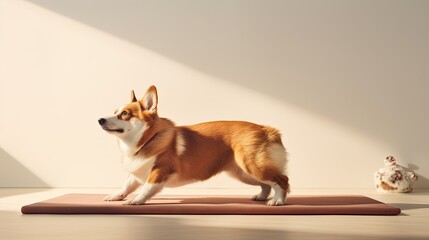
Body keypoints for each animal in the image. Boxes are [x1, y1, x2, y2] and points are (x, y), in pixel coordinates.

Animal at [98, 85, 290, 205]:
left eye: (124, 114)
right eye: (115, 112)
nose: (100, 119)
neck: (148, 139)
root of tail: (267, 129)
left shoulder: (160, 170)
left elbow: (147, 187)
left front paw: (137, 200)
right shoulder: (138, 172)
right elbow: (127, 185)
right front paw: (116, 196)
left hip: (252, 166)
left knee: (282, 180)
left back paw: (278, 201)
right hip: (243, 173)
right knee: (266, 184)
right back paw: (261, 197)